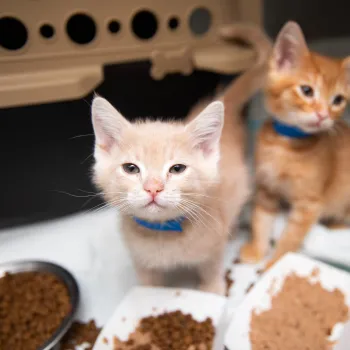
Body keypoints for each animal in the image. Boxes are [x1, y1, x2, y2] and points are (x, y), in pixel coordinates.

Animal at [90, 23, 270, 294]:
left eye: (177, 169)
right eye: (131, 168)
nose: (153, 188)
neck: (164, 233)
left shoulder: (213, 247)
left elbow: (212, 272)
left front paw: (212, 290)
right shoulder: (142, 262)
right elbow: (148, 287)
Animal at [242, 21, 350, 268]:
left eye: (338, 100)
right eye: (307, 90)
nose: (323, 115)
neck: (286, 144)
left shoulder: (308, 204)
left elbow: (290, 237)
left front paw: (275, 263)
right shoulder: (266, 188)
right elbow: (260, 220)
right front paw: (257, 249)